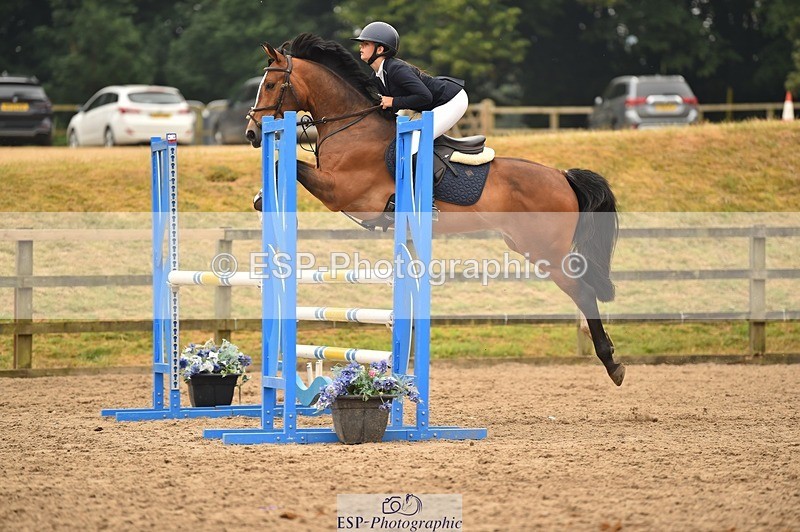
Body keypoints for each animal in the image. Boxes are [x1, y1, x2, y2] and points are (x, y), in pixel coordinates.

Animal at [245, 33, 625, 386]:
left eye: (272, 84)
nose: (251, 133)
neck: (351, 125)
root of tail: (562, 176)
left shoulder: (339, 191)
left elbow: (290, 164)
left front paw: (264, 199)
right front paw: (262, 198)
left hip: (545, 250)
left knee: (583, 292)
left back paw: (613, 363)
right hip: (525, 245)